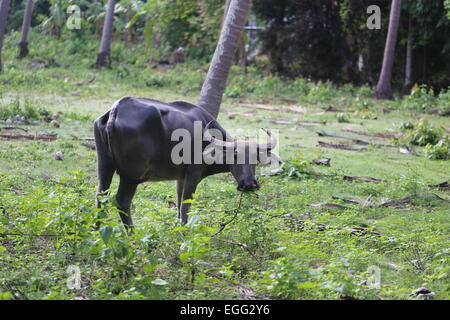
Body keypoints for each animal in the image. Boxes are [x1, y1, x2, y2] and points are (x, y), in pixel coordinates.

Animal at [93, 96, 280, 229]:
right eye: (234, 156)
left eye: (255, 159)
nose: (249, 184)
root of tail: (115, 111)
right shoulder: (193, 175)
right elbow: (185, 205)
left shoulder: (180, 177)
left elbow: (178, 202)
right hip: (132, 175)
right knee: (122, 201)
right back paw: (132, 234)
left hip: (104, 165)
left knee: (100, 194)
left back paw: (97, 229)